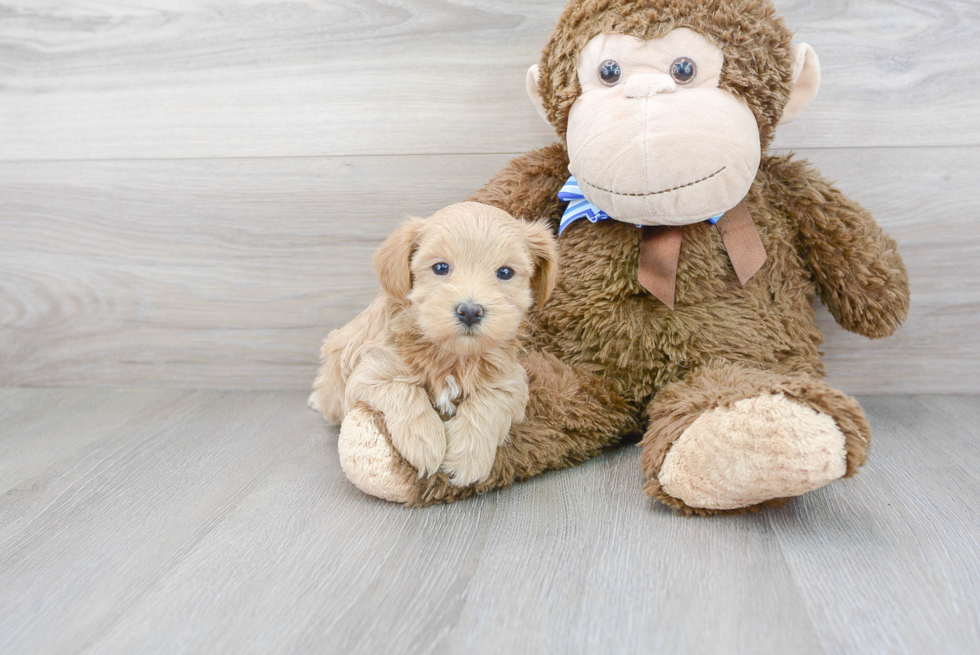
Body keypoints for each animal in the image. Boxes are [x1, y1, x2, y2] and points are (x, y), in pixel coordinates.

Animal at [312, 204, 560, 486]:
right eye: (441, 268)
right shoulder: (371, 372)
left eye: (505, 272)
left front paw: (468, 456)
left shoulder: (510, 380)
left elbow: (489, 403)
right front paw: (424, 441)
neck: (452, 354)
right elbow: (404, 390)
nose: (470, 311)